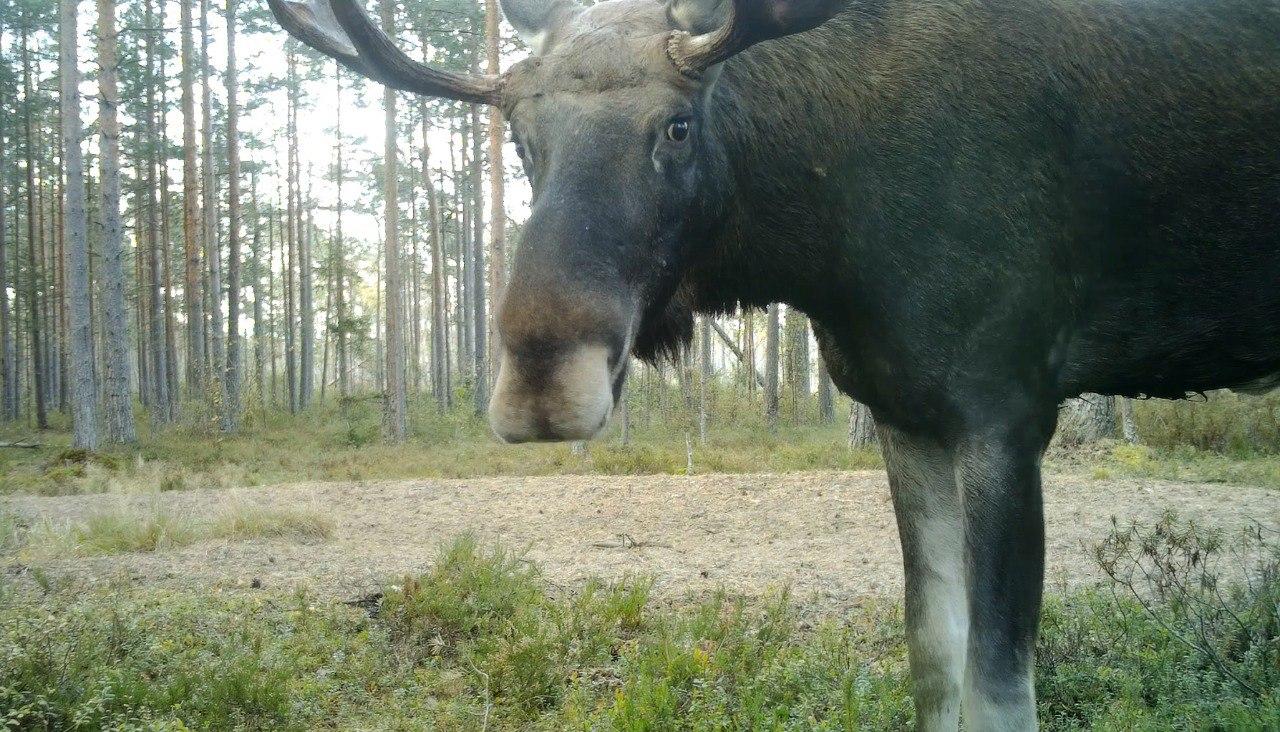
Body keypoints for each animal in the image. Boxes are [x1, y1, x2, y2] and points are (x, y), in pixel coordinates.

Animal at [270, 0, 1280, 721]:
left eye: (677, 127)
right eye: (522, 137)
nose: (541, 389)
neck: (828, 237)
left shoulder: (1006, 404)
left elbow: (998, 689)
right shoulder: (904, 409)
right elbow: (933, 657)